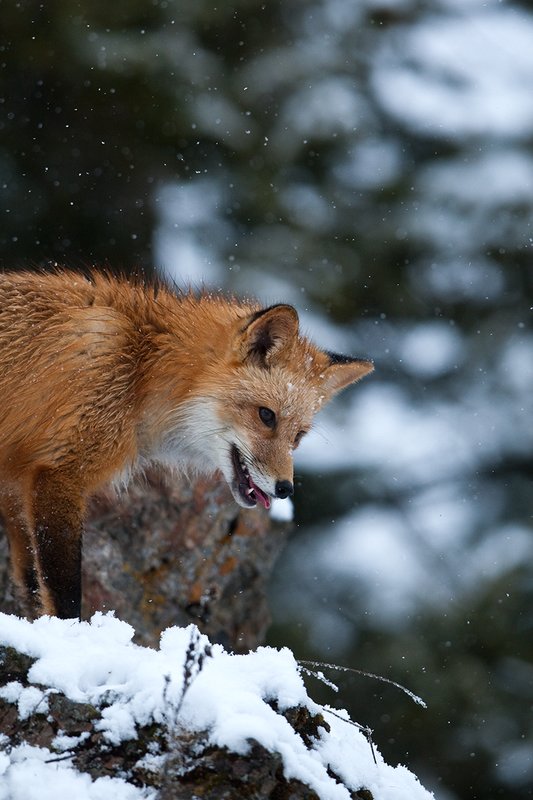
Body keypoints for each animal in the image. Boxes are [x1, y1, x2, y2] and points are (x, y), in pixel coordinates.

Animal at [0, 269, 373, 620]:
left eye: (299, 436)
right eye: (267, 416)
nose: (285, 489)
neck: (142, 371)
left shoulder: (17, 484)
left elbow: (30, 586)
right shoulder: (59, 476)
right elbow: (65, 598)